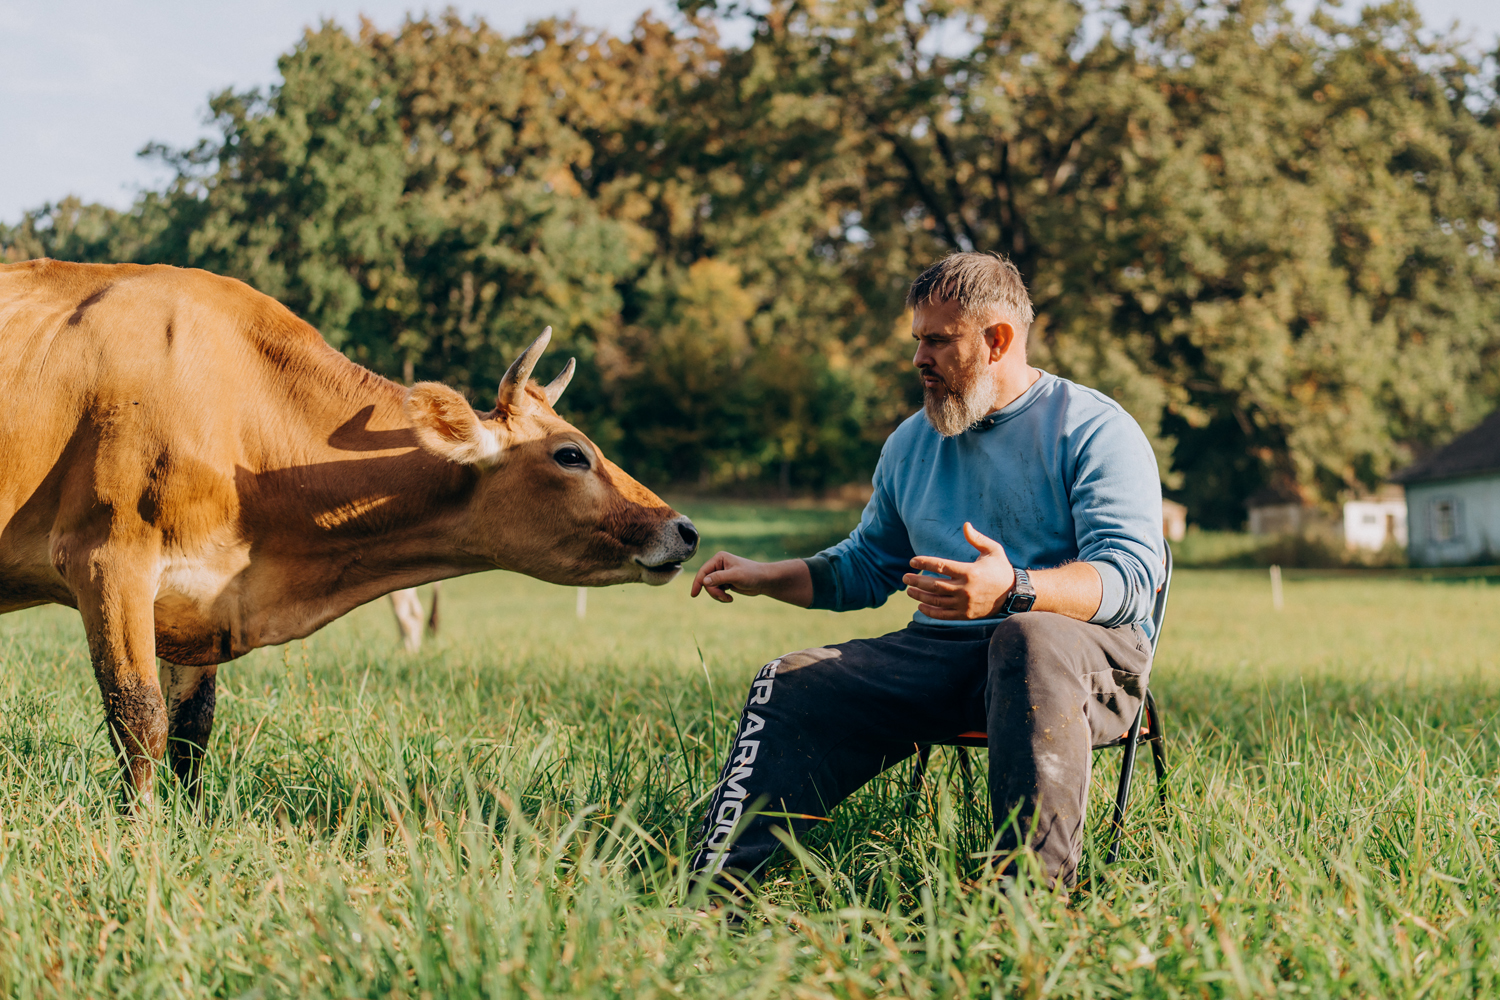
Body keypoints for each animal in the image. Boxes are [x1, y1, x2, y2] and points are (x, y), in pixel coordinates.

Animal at [0, 257, 696, 803]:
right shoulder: (106, 561)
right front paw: (143, 835)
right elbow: (138, 717)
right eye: (572, 454)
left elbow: (191, 732)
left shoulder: (195, 601)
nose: (685, 529)